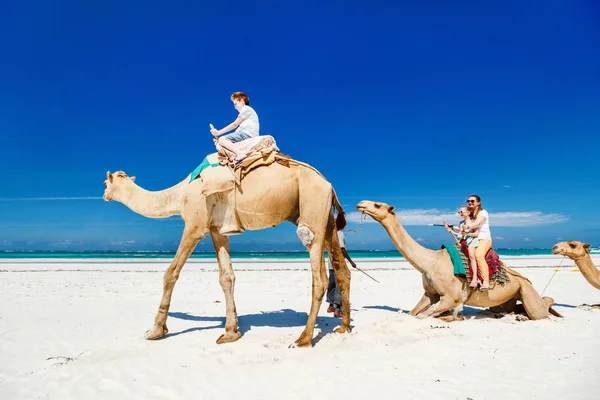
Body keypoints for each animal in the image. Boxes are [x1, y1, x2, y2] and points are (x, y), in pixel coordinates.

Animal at [101, 159, 350, 346]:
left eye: (105, 182)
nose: (104, 194)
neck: (179, 194)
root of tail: (328, 184)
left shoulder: (195, 226)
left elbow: (170, 273)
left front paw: (155, 330)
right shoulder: (217, 230)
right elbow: (226, 277)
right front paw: (231, 332)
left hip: (312, 206)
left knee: (318, 273)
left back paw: (303, 339)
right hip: (326, 219)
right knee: (342, 270)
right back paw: (344, 327)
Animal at [354, 200, 560, 322]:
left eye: (377, 205)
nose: (360, 203)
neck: (430, 261)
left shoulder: (451, 296)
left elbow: (425, 316)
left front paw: (451, 317)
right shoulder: (430, 294)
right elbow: (413, 313)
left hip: (525, 289)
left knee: (541, 308)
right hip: (507, 297)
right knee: (509, 307)